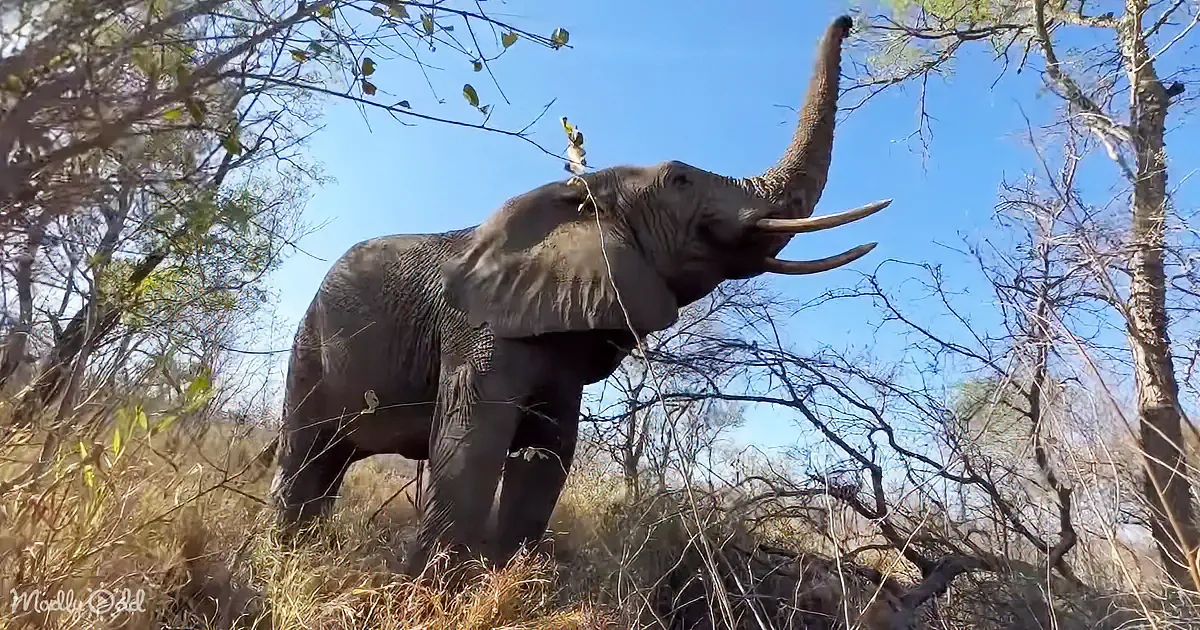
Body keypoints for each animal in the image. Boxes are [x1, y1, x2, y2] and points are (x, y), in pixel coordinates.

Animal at [268, 14, 891, 576]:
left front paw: (503, 576)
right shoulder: (477, 330)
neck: (575, 195)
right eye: (681, 179)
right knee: (305, 453)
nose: (848, 20)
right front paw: (427, 589)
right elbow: (471, 443)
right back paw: (286, 557)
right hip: (308, 345)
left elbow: (550, 452)